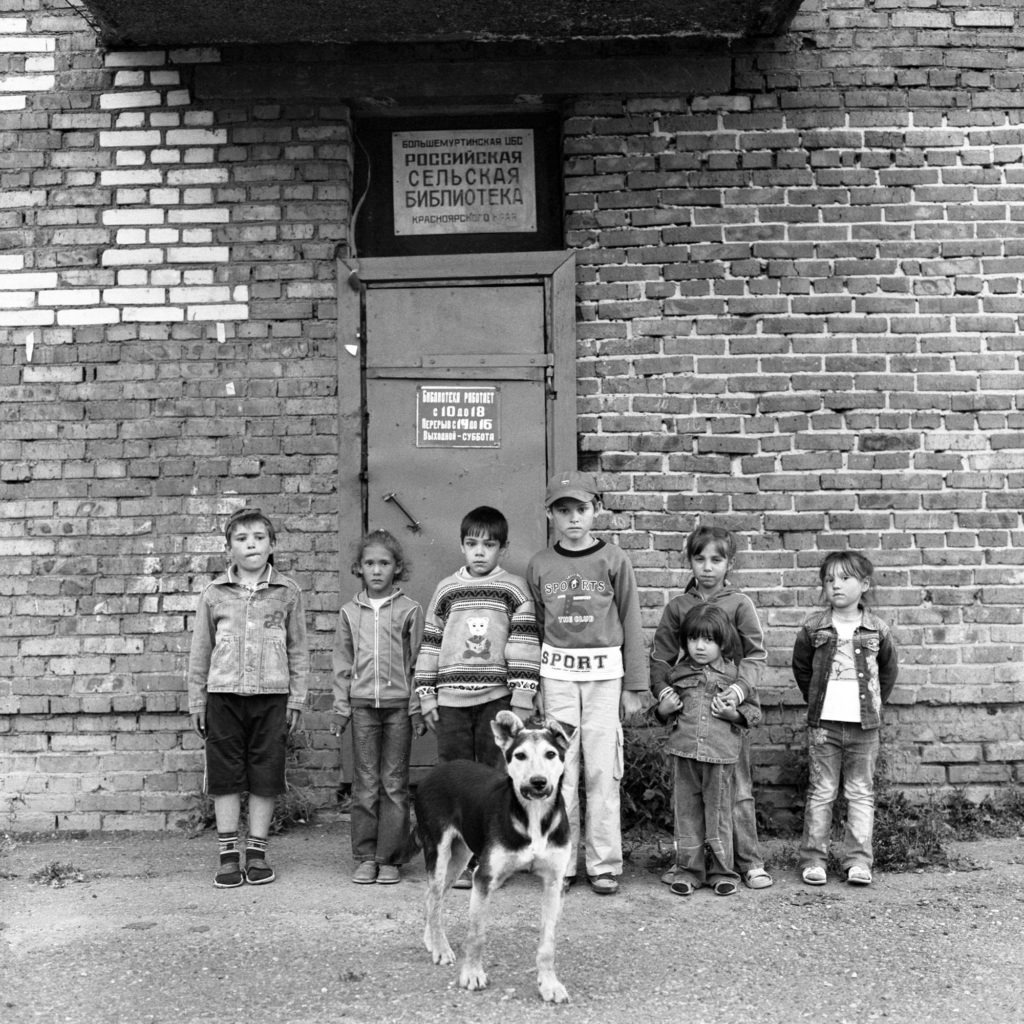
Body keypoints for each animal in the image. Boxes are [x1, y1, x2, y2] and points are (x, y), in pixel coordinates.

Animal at [413, 708, 577, 1003]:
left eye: (551, 754)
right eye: (520, 755)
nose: (538, 782)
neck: (533, 816)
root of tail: (436, 770)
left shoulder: (554, 882)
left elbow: (548, 943)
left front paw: (549, 984)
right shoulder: (484, 877)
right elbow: (477, 934)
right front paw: (472, 975)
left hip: (460, 856)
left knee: (434, 898)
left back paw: (432, 941)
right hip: (439, 849)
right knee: (434, 896)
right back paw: (441, 948)